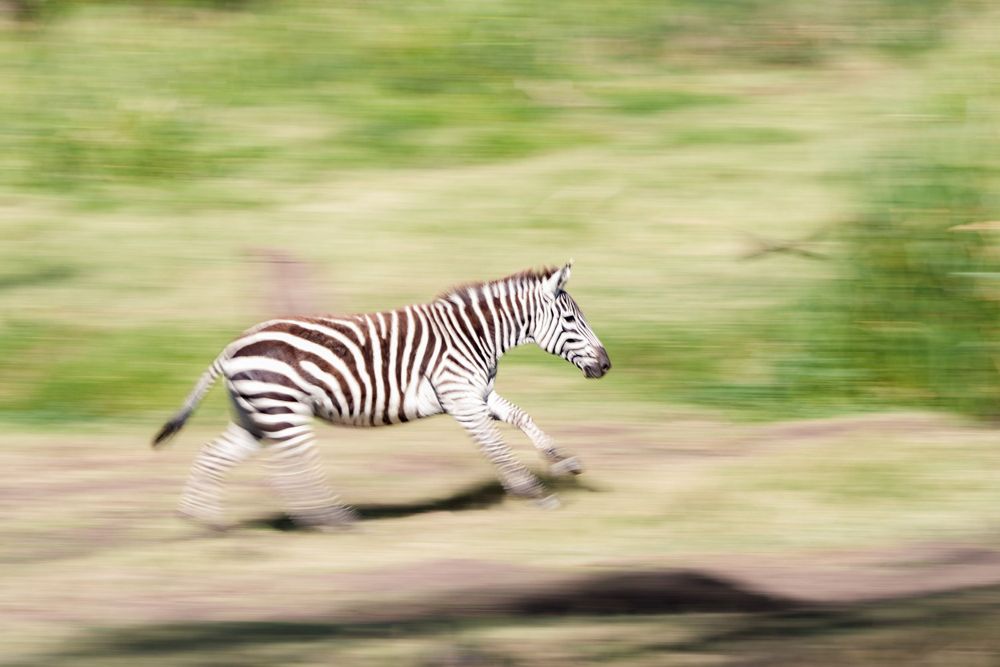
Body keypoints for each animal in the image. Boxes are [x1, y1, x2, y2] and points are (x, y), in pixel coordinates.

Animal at [153, 262, 611, 530]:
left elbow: (522, 417)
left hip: (256, 417)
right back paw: (333, 518)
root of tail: (233, 345)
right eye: (571, 320)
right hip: (282, 410)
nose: (606, 365)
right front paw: (533, 493)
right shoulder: (461, 399)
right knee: (293, 466)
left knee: (215, 455)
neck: (473, 335)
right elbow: (496, 449)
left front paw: (564, 462)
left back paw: (202, 519)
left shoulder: (477, 395)